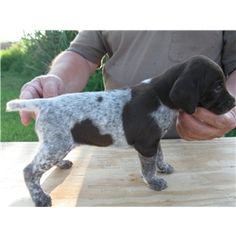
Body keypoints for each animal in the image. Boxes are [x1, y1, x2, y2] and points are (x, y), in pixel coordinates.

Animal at [6, 55, 235, 206]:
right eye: (216, 86)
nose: (233, 102)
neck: (161, 96)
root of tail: (44, 103)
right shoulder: (147, 144)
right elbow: (148, 168)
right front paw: (153, 181)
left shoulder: (154, 140)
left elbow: (159, 155)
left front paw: (163, 167)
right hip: (55, 145)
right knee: (29, 171)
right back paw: (40, 198)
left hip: (57, 144)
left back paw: (61, 164)